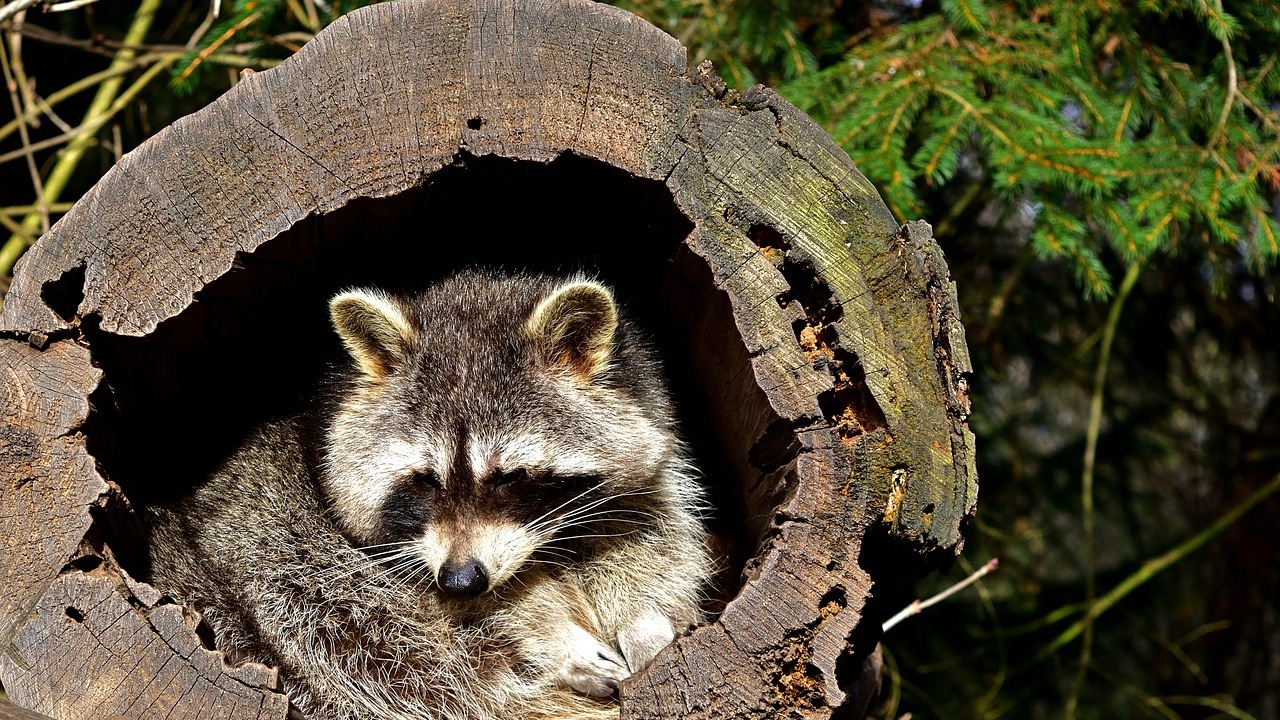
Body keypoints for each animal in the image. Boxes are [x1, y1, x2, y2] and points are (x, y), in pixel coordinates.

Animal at [147, 270, 721, 717]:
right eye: (424, 478)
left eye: (510, 476)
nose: (461, 579)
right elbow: (464, 618)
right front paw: (549, 635)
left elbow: (653, 539)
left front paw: (644, 618)